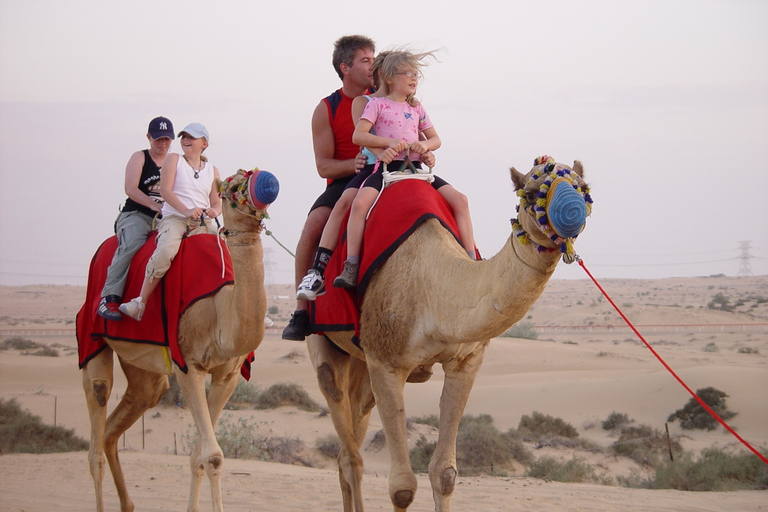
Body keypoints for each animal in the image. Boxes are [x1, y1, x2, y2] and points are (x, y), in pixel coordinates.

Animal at [81, 169, 278, 512]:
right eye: (230, 186)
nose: (266, 183)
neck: (220, 309)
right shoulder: (188, 365)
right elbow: (212, 456)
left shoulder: (228, 375)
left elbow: (199, 456)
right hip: (92, 338)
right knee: (97, 421)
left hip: (144, 369)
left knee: (124, 417)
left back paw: (128, 504)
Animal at [308, 158, 592, 510]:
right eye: (531, 193)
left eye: (584, 187)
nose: (572, 212)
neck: (434, 288)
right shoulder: (386, 363)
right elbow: (402, 487)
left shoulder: (466, 361)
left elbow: (444, 474)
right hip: (326, 340)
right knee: (344, 437)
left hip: (361, 360)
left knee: (353, 426)